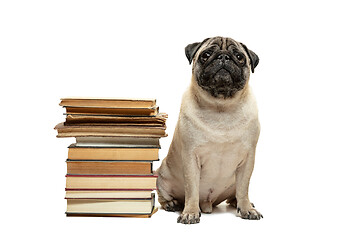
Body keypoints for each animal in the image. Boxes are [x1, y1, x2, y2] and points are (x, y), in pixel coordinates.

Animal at [155, 36, 262, 224]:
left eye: (239, 57)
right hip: (162, 177)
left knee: (237, 193)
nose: (224, 57)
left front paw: (247, 209)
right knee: (164, 196)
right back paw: (172, 204)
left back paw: (240, 203)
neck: (221, 107)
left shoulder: (248, 159)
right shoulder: (191, 158)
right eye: (206, 55)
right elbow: (192, 189)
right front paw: (190, 212)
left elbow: (243, 188)